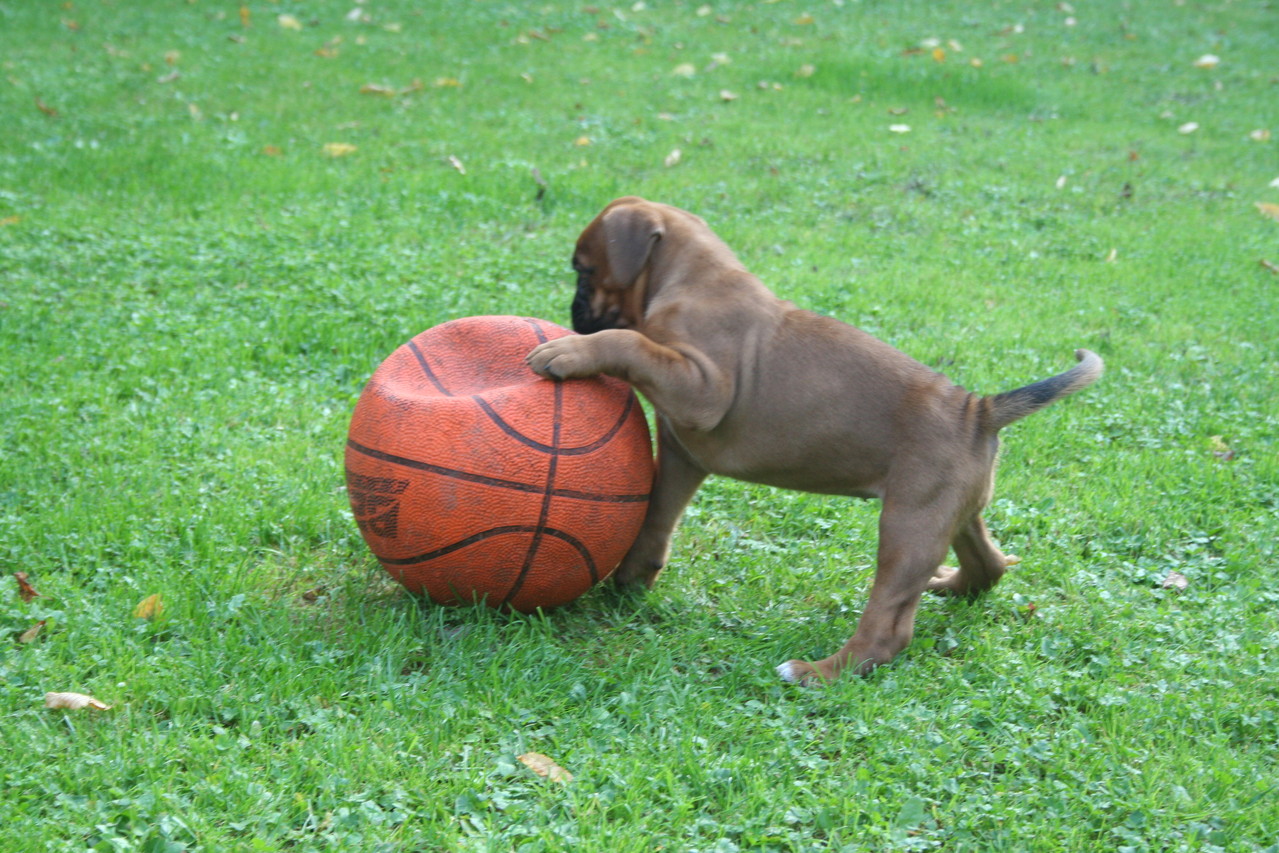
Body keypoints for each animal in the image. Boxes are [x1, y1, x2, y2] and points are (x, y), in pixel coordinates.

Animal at [524, 196, 1105, 685]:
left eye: (583, 269)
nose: (573, 313)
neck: (694, 276)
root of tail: (978, 411)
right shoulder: (681, 453)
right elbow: (654, 524)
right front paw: (629, 585)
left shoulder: (702, 389)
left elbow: (630, 342)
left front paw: (570, 351)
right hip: (953, 513)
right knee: (990, 565)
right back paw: (947, 585)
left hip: (907, 526)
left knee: (888, 630)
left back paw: (817, 673)